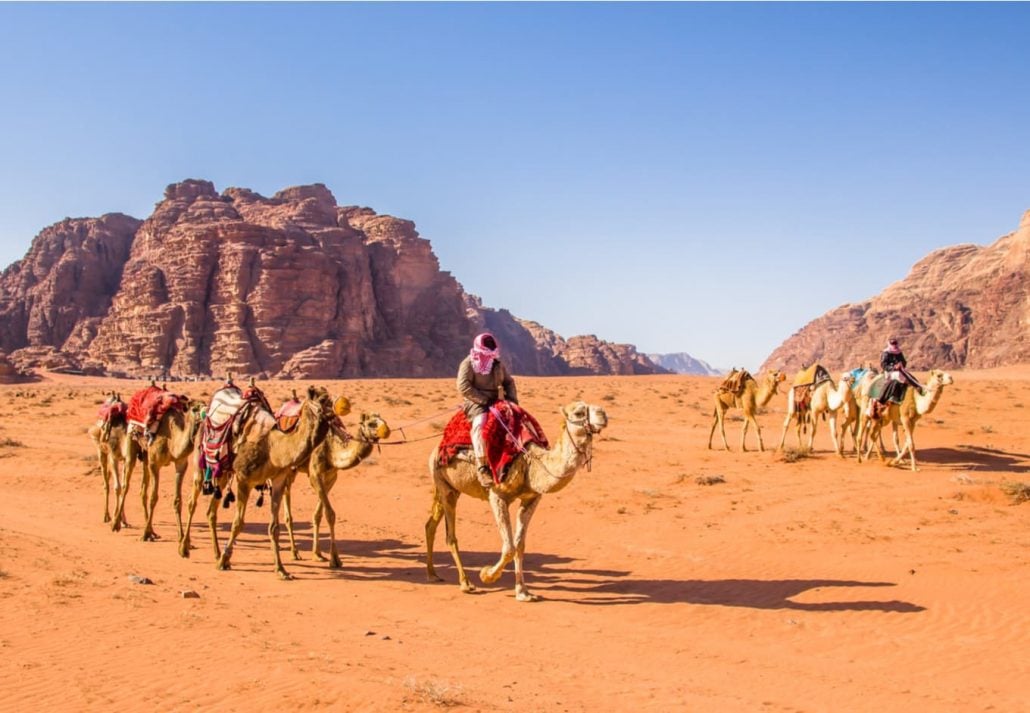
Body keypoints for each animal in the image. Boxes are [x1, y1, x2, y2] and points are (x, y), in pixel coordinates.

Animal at [111, 395, 203, 539]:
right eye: (194, 409)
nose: (204, 417)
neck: (172, 442)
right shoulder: (155, 464)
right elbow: (154, 498)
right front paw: (145, 534)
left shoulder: (181, 463)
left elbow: (177, 500)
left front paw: (181, 535)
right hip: (131, 444)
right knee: (126, 485)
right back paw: (116, 524)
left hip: (145, 456)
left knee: (143, 490)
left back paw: (152, 531)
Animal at [177, 385, 335, 581]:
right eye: (322, 400)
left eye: (331, 400)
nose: (334, 416)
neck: (273, 448)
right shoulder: (244, 479)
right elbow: (238, 523)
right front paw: (224, 560)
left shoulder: (278, 480)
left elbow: (274, 527)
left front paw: (281, 569)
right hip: (201, 461)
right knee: (192, 502)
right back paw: (184, 548)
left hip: (223, 472)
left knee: (211, 511)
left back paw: (216, 552)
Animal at [280, 412, 391, 568]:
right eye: (371, 424)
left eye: (383, 420)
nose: (387, 430)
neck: (331, 448)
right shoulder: (314, 473)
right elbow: (330, 514)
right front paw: (335, 559)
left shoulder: (332, 477)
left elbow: (319, 515)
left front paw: (318, 554)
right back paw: (294, 552)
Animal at [424, 401, 605, 601]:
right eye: (579, 412)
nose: (603, 414)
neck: (530, 462)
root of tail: (436, 449)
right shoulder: (497, 495)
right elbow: (509, 547)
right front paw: (487, 575)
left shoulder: (531, 498)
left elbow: (519, 545)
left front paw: (523, 592)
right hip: (444, 484)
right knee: (450, 535)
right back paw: (465, 583)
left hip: (449, 487)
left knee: (431, 524)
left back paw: (432, 574)